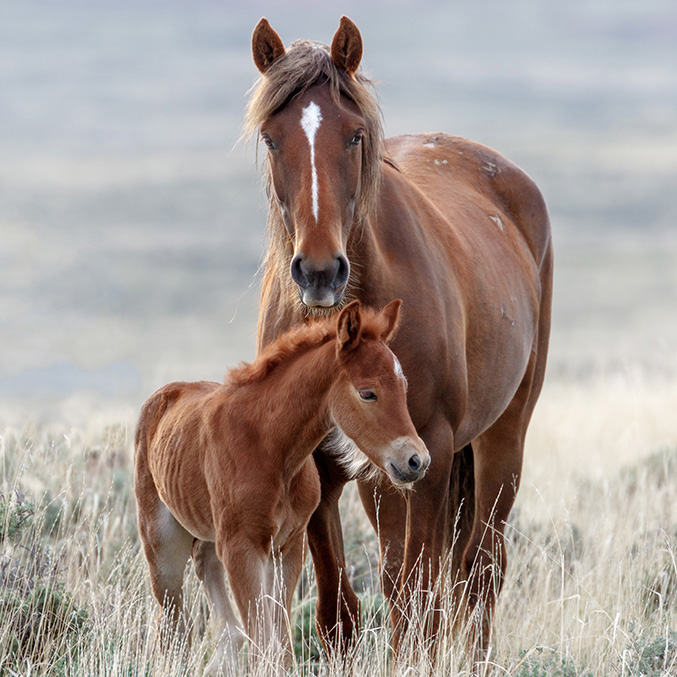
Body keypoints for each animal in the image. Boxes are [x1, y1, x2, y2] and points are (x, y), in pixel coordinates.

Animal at [134, 300, 429, 674]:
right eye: (368, 393)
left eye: (403, 388)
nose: (416, 461)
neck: (271, 448)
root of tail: (162, 395)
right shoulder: (242, 548)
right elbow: (263, 643)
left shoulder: (288, 547)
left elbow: (281, 645)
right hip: (161, 542)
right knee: (172, 619)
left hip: (210, 532)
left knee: (206, 570)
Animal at [246, 16, 553, 668]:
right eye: (271, 138)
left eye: (356, 136)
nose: (319, 272)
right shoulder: (322, 462)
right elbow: (340, 611)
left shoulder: (429, 450)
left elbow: (418, 602)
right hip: (385, 477)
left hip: (499, 440)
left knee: (478, 571)